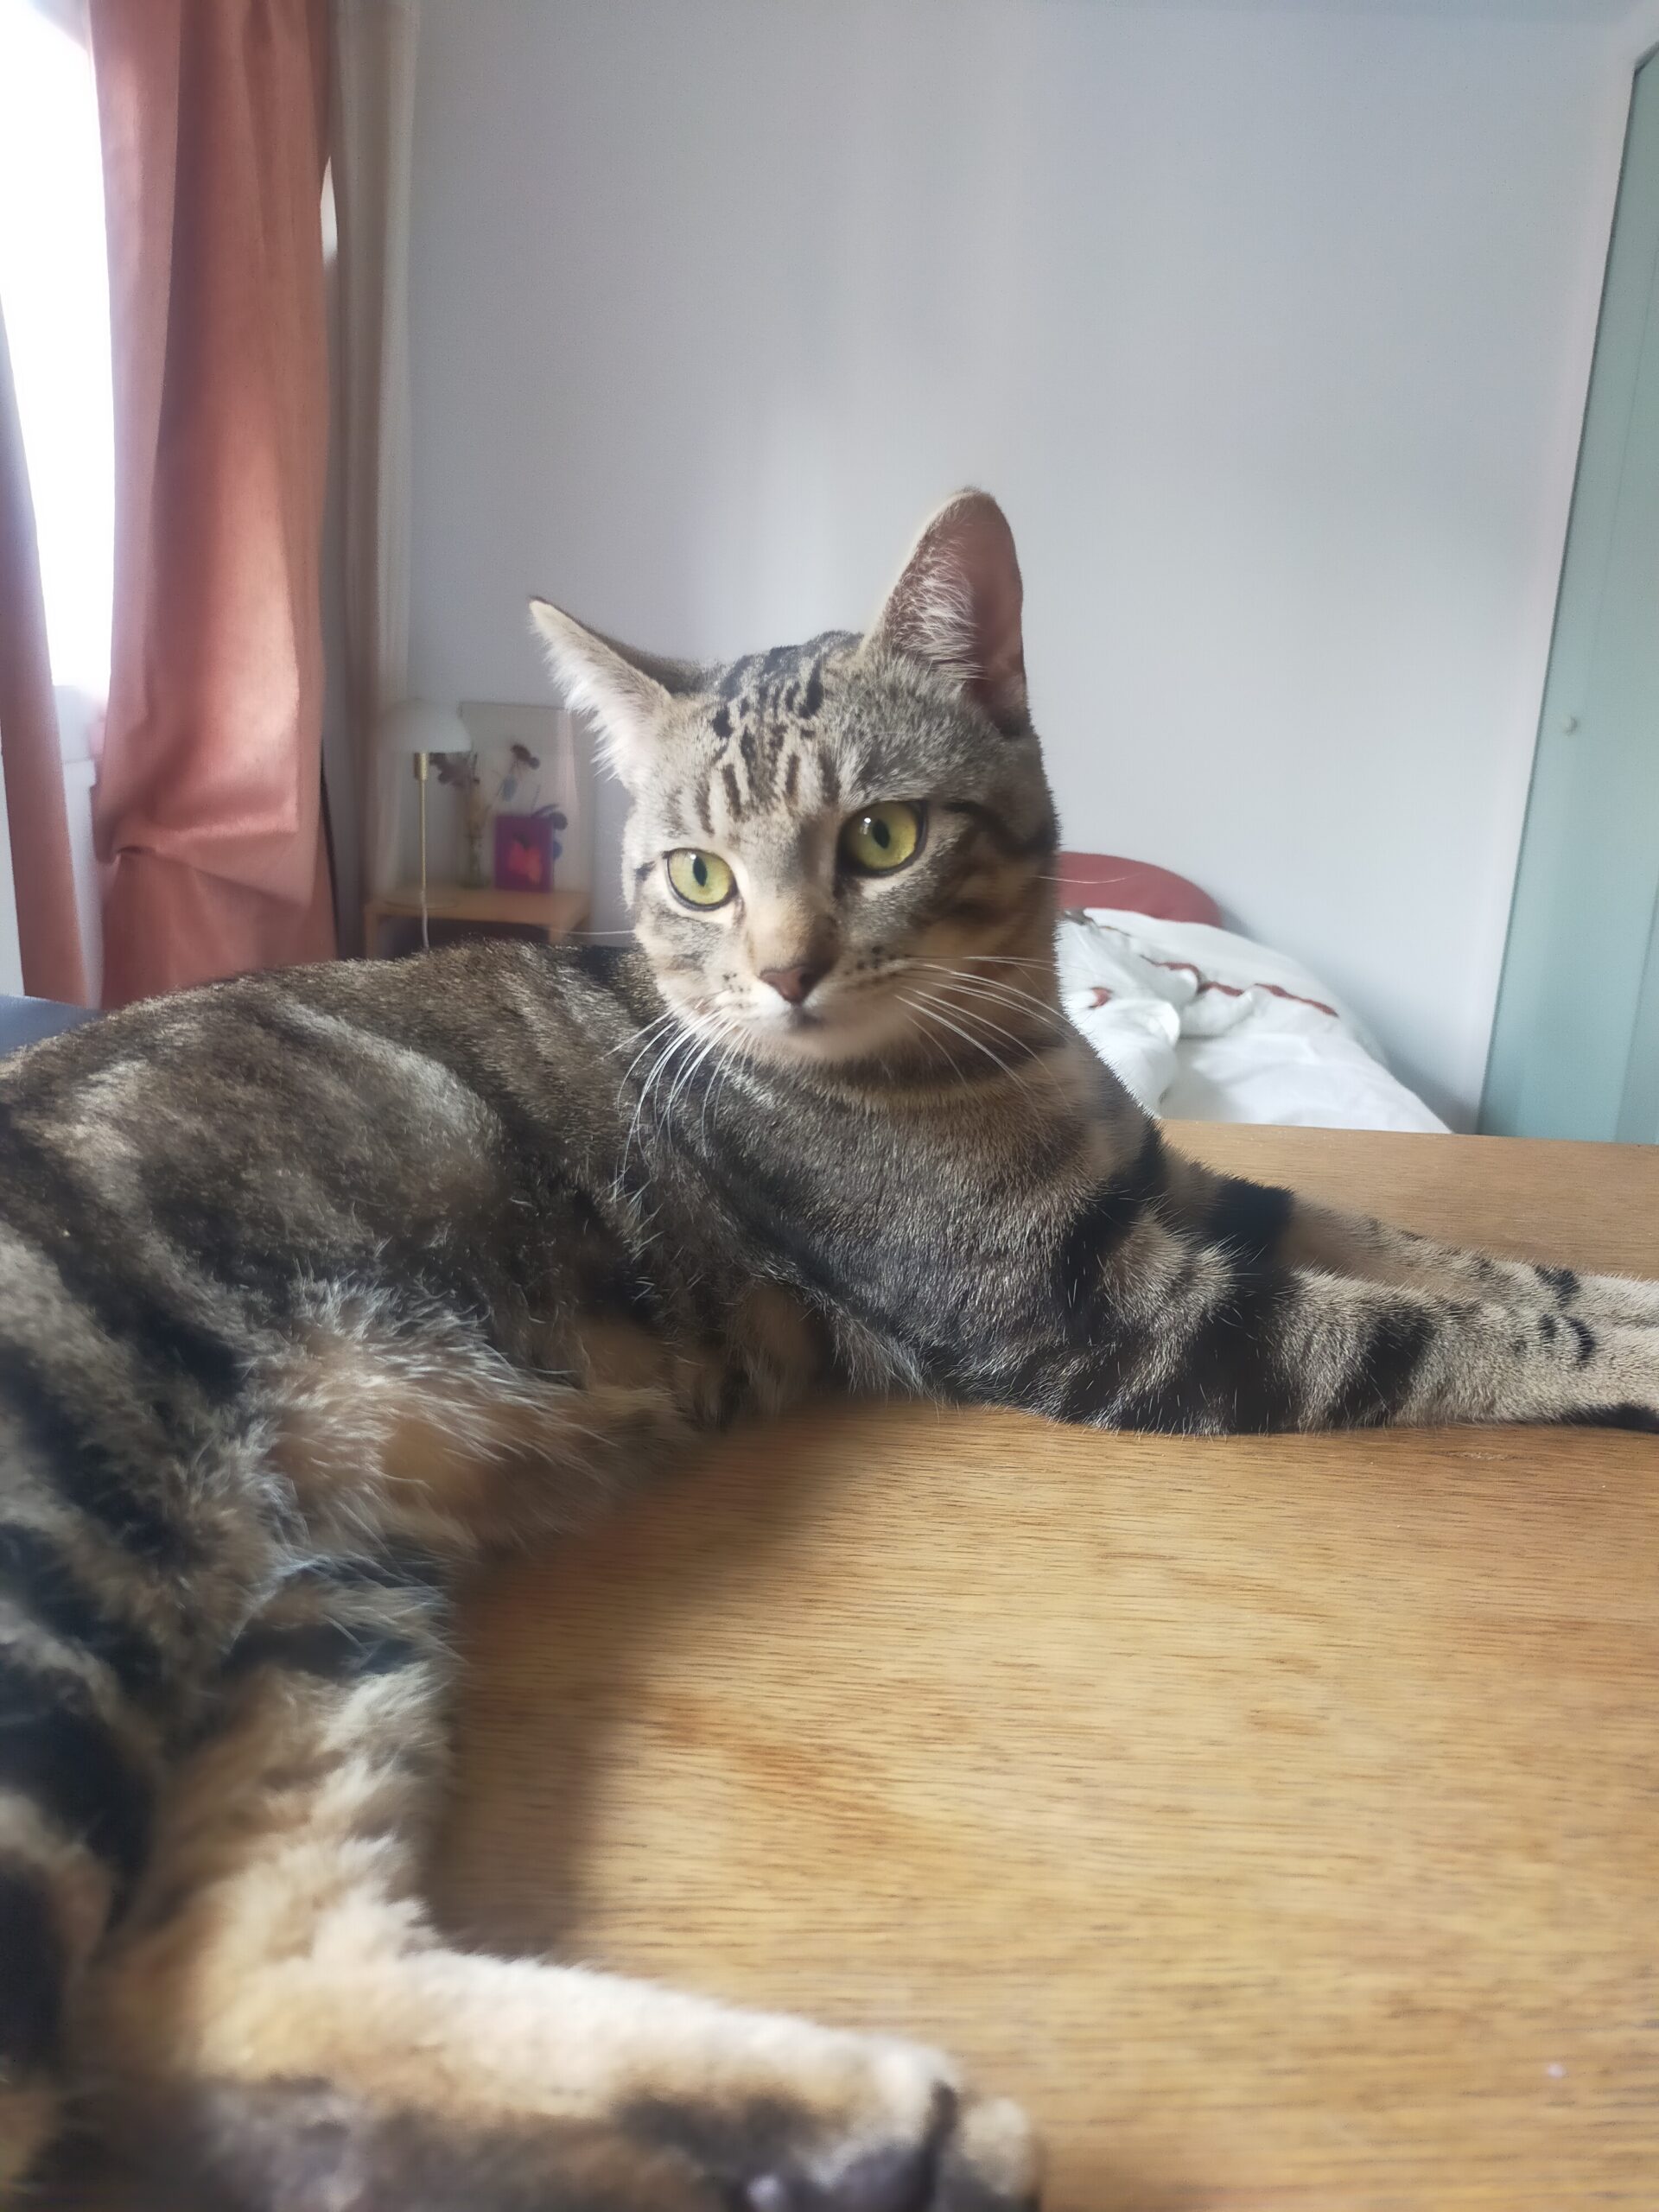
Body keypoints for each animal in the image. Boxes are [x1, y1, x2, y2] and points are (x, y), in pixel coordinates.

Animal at [1, 490, 1654, 2212]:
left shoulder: (1183, 1196)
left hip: (327, 1594)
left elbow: (1449, 1256)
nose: (788, 971)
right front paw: (1615, 1351)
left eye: (881, 839)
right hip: (73, 1597)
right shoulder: (1107, 1314)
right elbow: (1436, 1328)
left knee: (233, 2007)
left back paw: (885, 2138)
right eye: (698, 876)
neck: (1014, 1053)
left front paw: (1624, 1289)